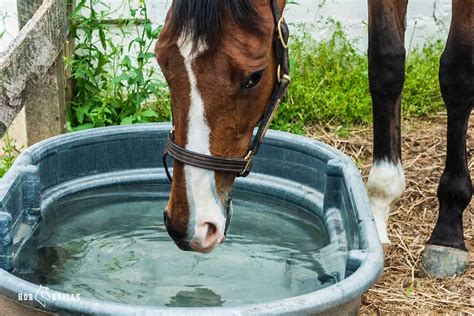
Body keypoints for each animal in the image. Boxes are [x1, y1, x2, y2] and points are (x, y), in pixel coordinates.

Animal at [155, 0, 470, 276]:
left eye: (253, 77)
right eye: (162, 61)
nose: (187, 225)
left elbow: (457, 73)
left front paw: (448, 231)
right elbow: (386, 65)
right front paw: (379, 209)